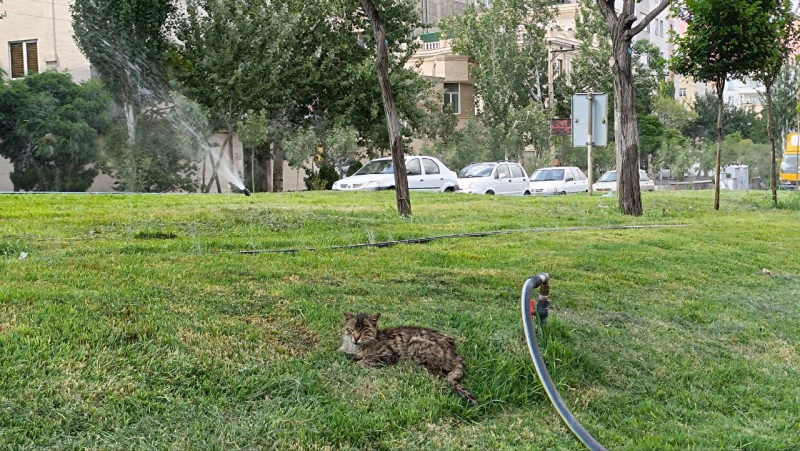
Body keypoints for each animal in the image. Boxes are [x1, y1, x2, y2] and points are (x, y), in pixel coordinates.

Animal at [336, 312, 476, 408]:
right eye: (351, 330)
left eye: (365, 331)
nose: (356, 338)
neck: (355, 348)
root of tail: (457, 354)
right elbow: (340, 352)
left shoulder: (387, 355)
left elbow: (362, 362)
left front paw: (355, 362)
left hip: (415, 343)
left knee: (438, 373)